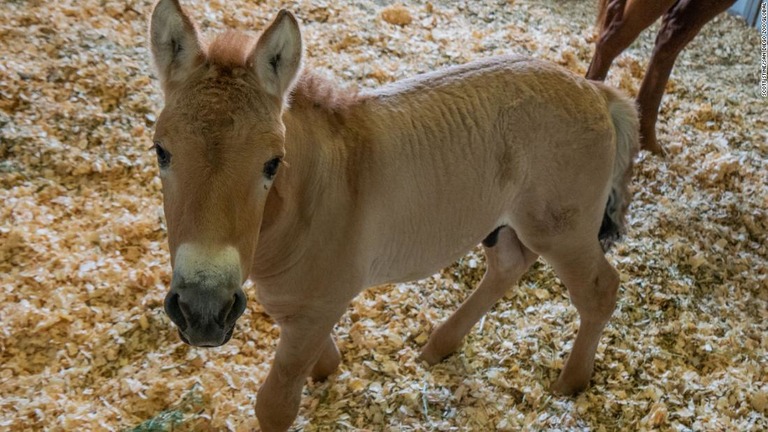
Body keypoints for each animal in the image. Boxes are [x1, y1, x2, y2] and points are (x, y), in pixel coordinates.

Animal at [147, 1, 640, 430]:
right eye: (161, 151)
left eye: (272, 163)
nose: (202, 310)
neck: (314, 197)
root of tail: (595, 92)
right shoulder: (295, 303)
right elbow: (316, 354)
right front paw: (328, 370)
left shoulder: (318, 307)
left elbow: (276, 404)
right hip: (504, 223)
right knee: (508, 265)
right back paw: (440, 345)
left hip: (562, 231)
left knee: (599, 290)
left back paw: (571, 382)